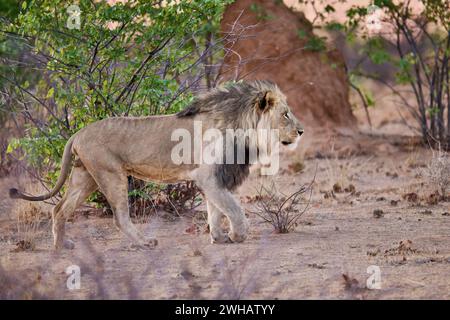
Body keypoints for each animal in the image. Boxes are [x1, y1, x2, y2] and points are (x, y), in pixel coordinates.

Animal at [8, 80, 304, 250]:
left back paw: (61, 246)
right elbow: (232, 208)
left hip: (86, 177)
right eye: (285, 114)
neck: (243, 127)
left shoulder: (215, 178)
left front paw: (219, 237)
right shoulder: (209, 176)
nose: (301, 131)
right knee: (119, 216)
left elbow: (215, 210)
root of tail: (77, 133)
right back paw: (144, 242)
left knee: (59, 209)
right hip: (111, 175)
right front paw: (238, 235)